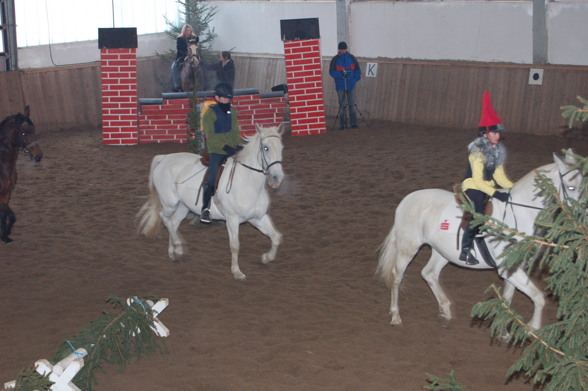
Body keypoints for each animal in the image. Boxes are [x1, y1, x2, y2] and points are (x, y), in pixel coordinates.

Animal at [0, 105, 42, 243]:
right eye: (24, 132)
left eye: (33, 130)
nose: (38, 156)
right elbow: (7, 214)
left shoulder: (7, 192)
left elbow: (9, 215)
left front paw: (5, 236)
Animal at [138, 124, 284, 280]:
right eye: (266, 148)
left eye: (281, 148)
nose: (278, 178)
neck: (248, 182)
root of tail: (165, 158)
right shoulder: (232, 219)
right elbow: (235, 245)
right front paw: (237, 272)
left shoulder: (257, 217)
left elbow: (276, 237)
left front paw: (266, 258)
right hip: (170, 204)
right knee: (164, 218)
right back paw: (178, 247)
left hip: (183, 207)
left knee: (173, 223)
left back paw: (174, 252)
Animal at [378, 150, 580, 330]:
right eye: (571, 187)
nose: (580, 216)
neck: (520, 213)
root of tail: (407, 199)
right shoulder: (509, 270)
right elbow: (538, 297)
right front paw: (533, 327)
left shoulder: (513, 269)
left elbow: (507, 300)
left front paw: (503, 332)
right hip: (408, 248)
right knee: (397, 276)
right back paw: (395, 316)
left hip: (443, 252)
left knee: (429, 273)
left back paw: (446, 312)